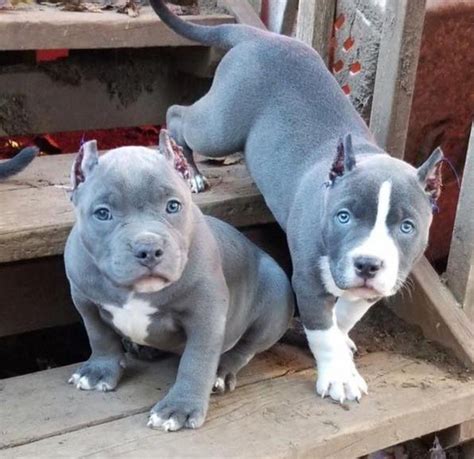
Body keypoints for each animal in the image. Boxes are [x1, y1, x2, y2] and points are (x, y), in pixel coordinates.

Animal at [63, 131, 292, 434]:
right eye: (102, 213)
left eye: (173, 206)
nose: (148, 248)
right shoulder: (84, 299)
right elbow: (99, 335)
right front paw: (99, 370)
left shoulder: (206, 315)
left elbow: (196, 361)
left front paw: (179, 409)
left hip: (275, 299)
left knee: (245, 348)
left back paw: (221, 371)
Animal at [149, 2, 444, 406]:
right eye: (343, 216)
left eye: (407, 227)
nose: (368, 264)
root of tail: (260, 37)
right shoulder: (304, 278)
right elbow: (323, 328)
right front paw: (339, 376)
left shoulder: (379, 283)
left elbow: (345, 315)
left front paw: (343, 342)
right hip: (221, 125)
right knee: (179, 115)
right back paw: (187, 169)